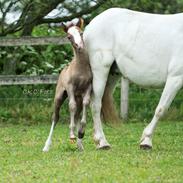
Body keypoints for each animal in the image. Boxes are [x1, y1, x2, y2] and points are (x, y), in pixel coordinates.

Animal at [42, 19, 92, 152]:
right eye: (69, 37)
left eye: (81, 33)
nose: (79, 47)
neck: (80, 68)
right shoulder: (70, 88)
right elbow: (71, 106)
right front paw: (72, 135)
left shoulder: (88, 88)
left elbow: (85, 104)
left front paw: (81, 132)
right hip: (59, 96)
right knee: (56, 117)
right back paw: (46, 146)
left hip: (78, 97)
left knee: (77, 113)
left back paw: (80, 145)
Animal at [83, 7, 183, 149]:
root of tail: (90, 26)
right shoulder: (176, 77)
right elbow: (161, 109)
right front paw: (146, 141)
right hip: (100, 70)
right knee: (96, 104)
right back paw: (102, 142)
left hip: (112, 75)